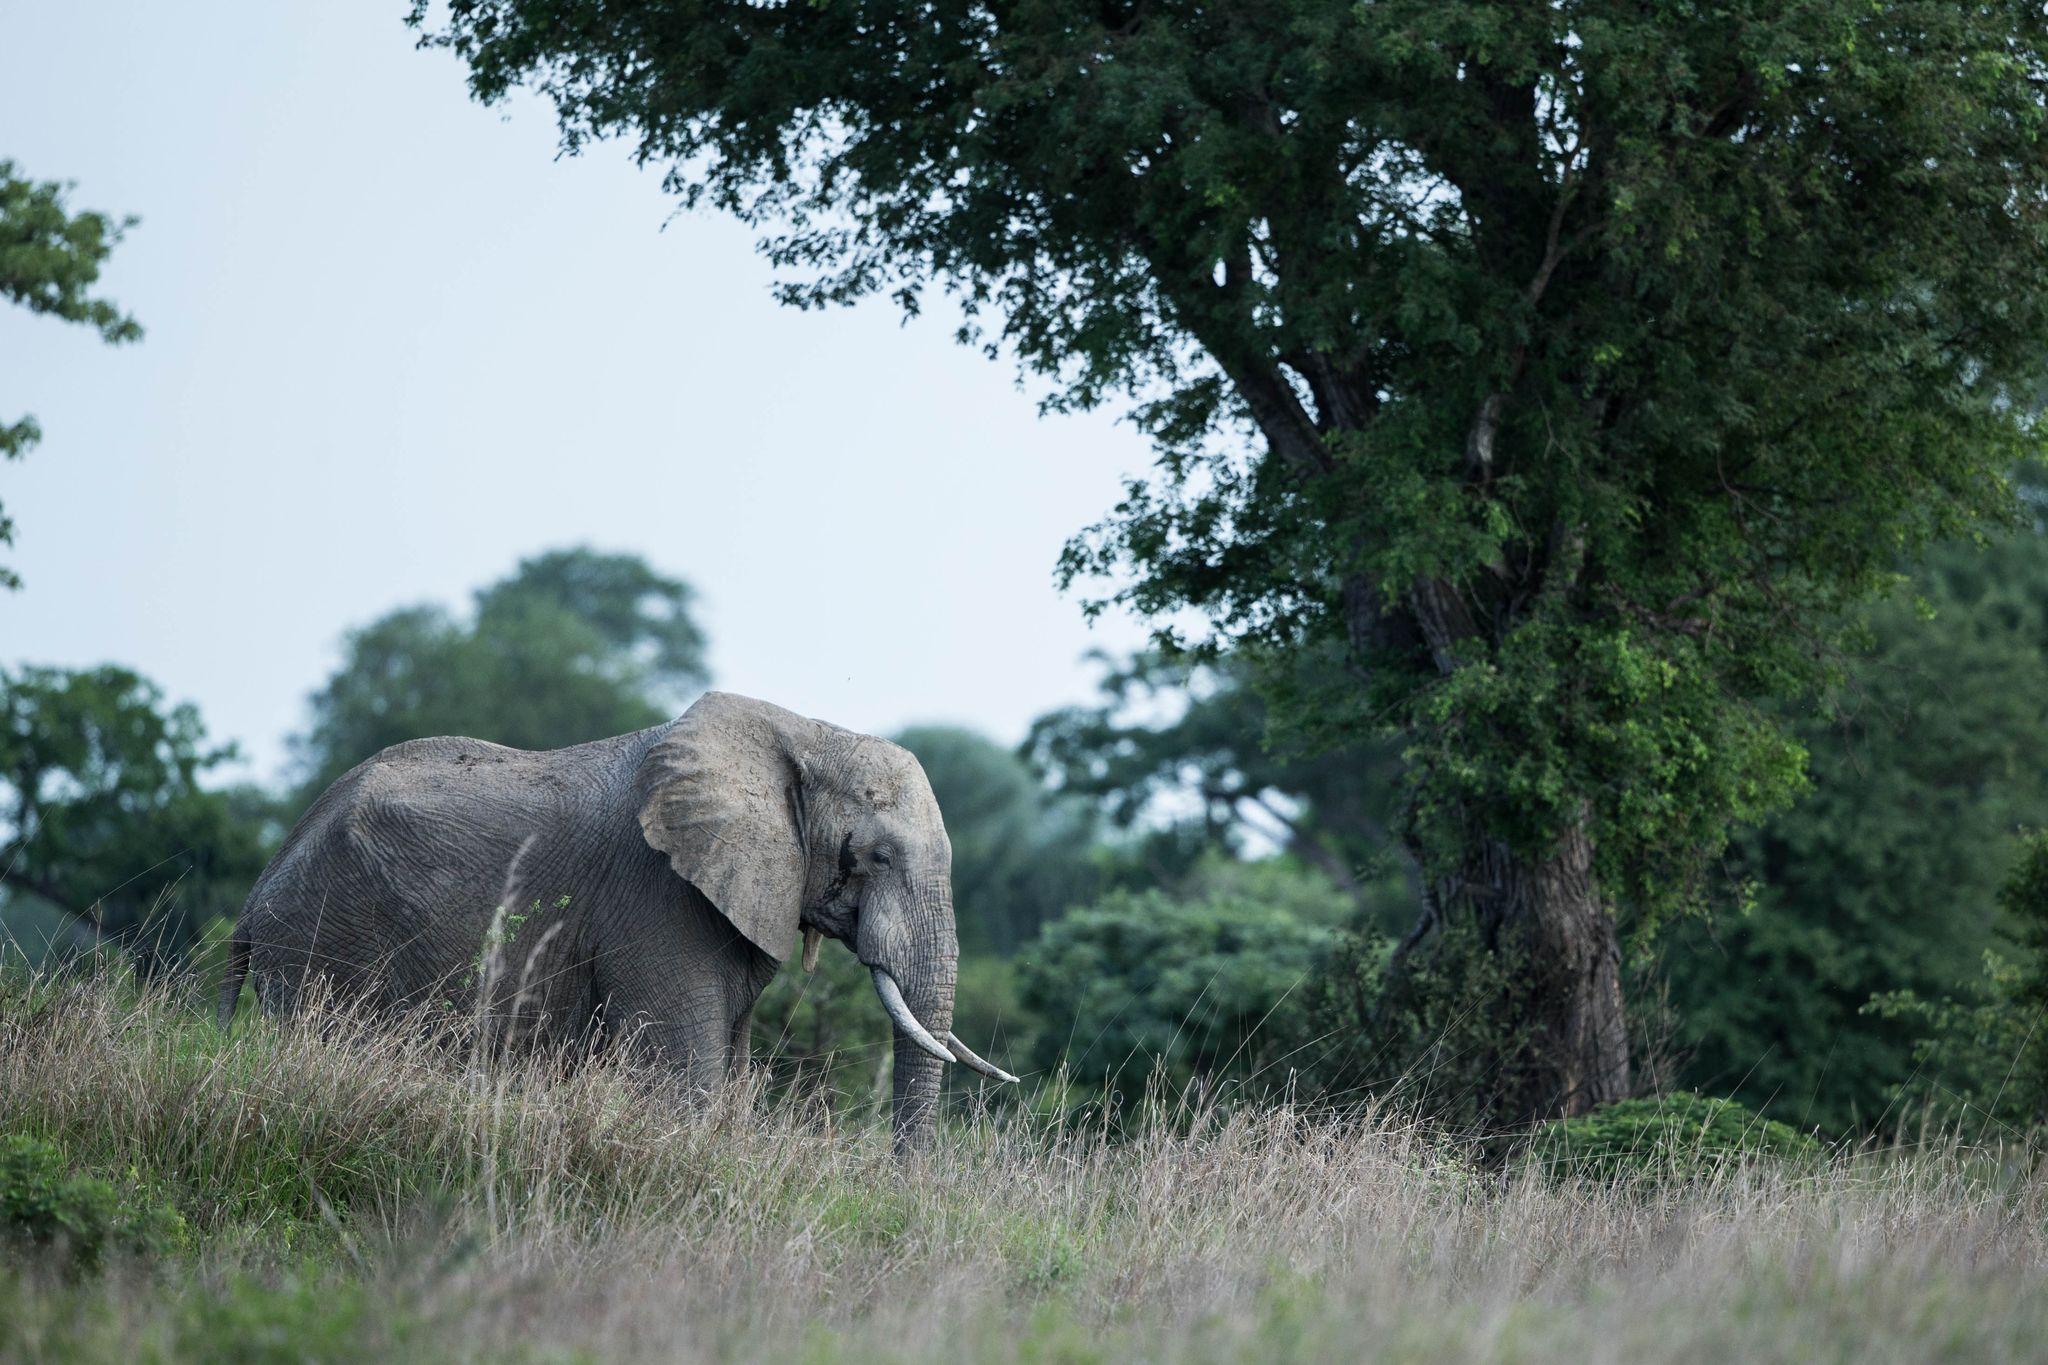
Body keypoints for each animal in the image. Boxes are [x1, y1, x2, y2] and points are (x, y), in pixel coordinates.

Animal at [215, 690, 1016, 1146]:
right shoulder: (656, 897)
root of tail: (257, 892)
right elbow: (685, 1086)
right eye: (873, 856)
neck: (804, 732)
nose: (905, 1186)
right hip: (325, 938)